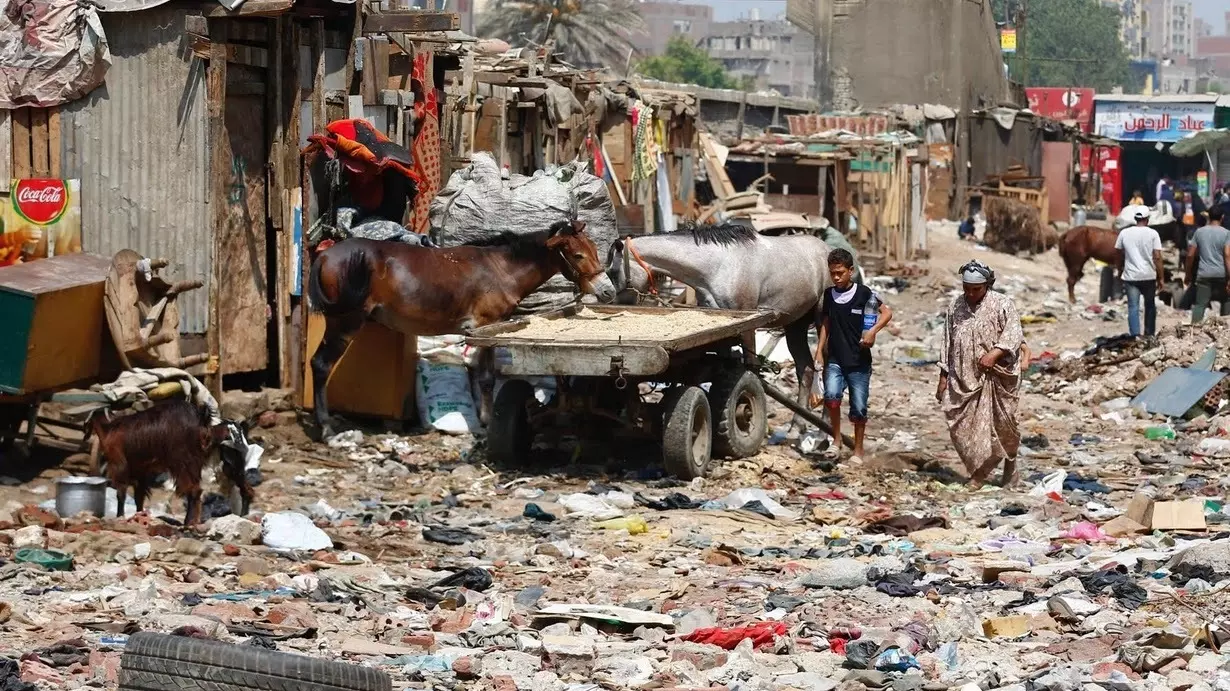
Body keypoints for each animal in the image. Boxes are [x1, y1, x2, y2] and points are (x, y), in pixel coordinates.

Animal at [87, 395, 254, 523]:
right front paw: (139, 515)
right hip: (224, 465)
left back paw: (188, 524)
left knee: (194, 490)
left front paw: (120, 516)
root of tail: (202, 420)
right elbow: (139, 496)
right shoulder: (141, 471)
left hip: (183, 462)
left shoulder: (119, 464)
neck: (110, 430)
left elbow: (121, 493)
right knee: (245, 489)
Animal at [307, 218, 615, 435]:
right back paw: (326, 427)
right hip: (346, 322)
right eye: (578, 255)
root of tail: (325, 256)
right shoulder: (487, 325)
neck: (501, 269)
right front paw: (487, 423)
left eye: (594, 250)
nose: (609, 291)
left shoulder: (482, 331)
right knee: (321, 364)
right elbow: (487, 379)